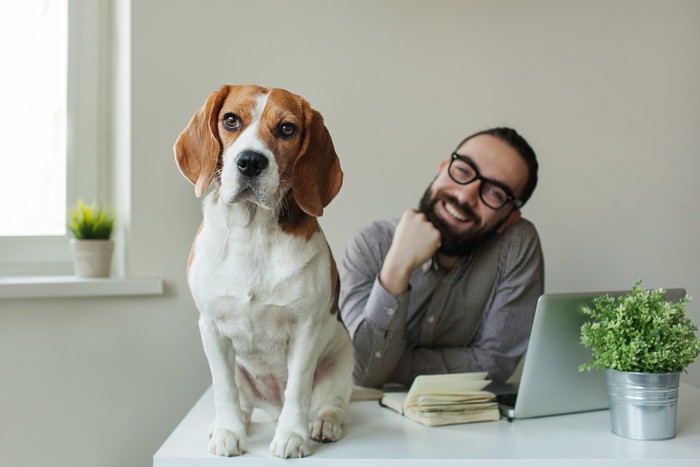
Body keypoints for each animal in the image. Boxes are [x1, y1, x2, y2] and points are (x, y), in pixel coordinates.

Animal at [173, 83, 352, 458]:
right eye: (230, 120)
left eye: (287, 129)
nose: (251, 161)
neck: (252, 233)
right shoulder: (211, 327)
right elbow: (223, 388)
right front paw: (229, 431)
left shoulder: (306, 331)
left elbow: (297, 390)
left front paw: (292, 436)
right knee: (240, 397)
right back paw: (232, 420)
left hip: (342, 353)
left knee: (330, 403)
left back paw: (324, 422)